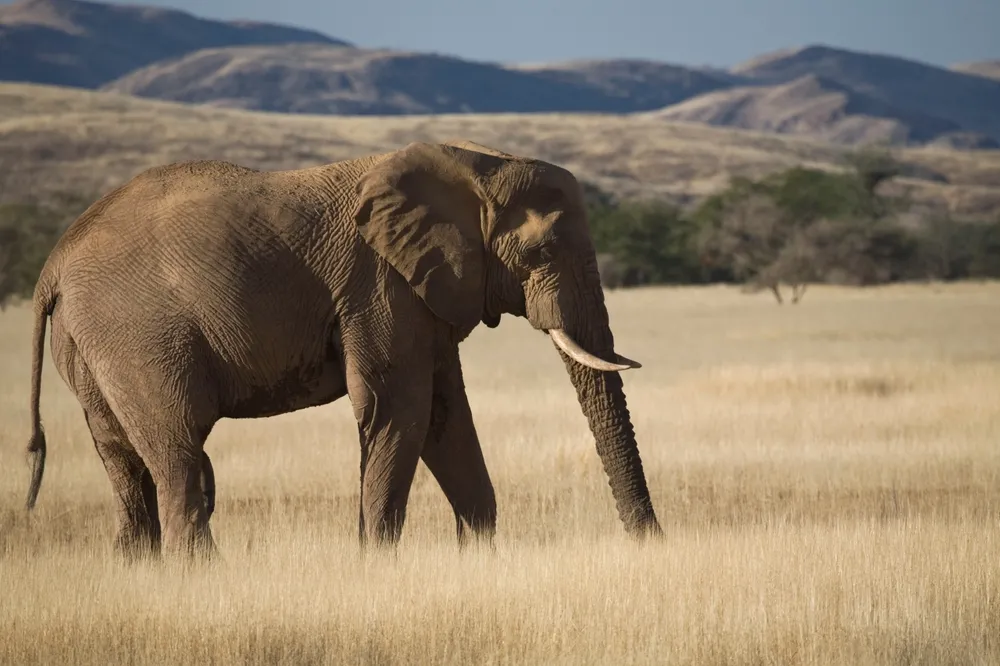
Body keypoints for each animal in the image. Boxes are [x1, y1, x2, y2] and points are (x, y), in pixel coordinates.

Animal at [23, 139, 663, 560]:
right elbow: (400, 409)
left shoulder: (420, 293)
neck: (474, 164)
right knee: (178, 456)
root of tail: (53, 262)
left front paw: (478, 558)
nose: (649, 543)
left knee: (122, 461)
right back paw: (203, 576)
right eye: (544, 251)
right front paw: (377, 565)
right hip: (136, 335)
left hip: (89, 343)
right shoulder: (378, 285)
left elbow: (445, 416)